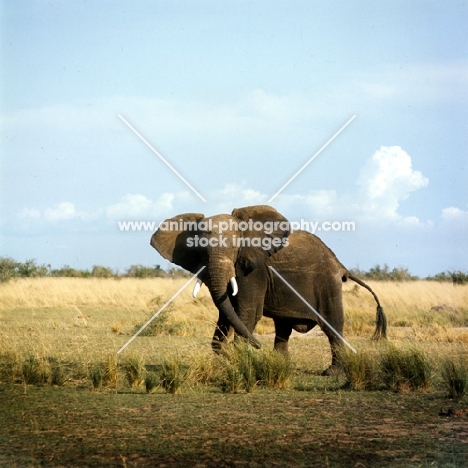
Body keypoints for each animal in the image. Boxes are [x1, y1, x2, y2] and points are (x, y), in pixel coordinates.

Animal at [151, 207, 388, 372]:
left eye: (235, 248)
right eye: (199, 251)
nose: (258, 347)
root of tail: (341, 265)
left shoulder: (255, 271)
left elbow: (246, 313)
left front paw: (240, 361)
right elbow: (226, 312)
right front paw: (230, 358)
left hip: (327, 284)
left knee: (333, 325)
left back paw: (332, 373)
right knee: (283, 327)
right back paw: (281, 365)